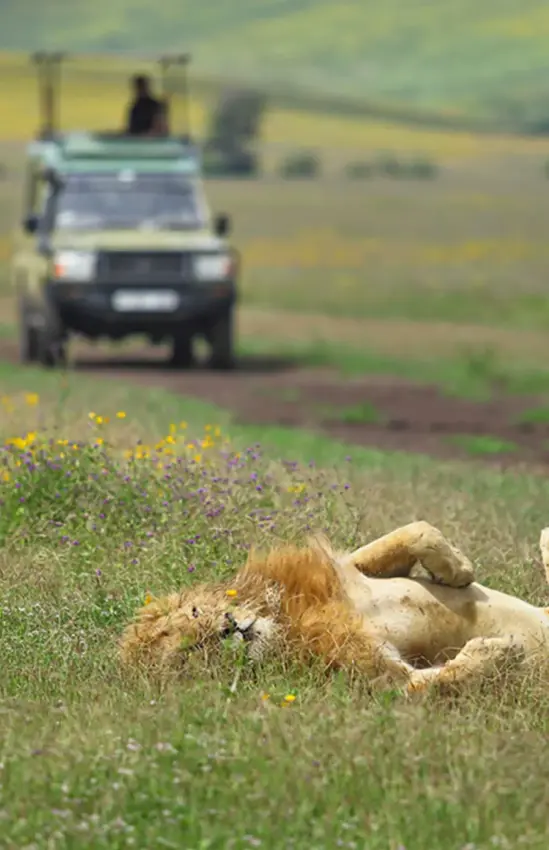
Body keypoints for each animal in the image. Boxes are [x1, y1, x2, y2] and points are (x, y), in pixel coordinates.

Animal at [119, 521, 549, 695]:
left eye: (195, 614)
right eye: (189, 653)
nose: (228, 628)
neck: (285, 622)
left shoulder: (347, 570)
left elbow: (413, 533)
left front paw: (458, 569)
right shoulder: (380, 678)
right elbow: (439, 681)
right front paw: (500, 651)